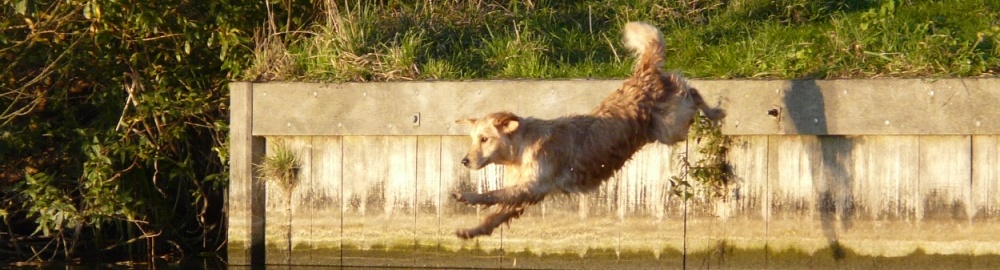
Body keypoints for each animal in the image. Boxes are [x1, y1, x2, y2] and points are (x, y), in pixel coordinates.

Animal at [456, 22, 728, 239]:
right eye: (473, 139)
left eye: (484, 139)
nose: (464, 161)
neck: (523, 147)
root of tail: (644, 73)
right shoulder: (526, 191)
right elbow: (496, 213)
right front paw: (472, 230)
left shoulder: (535, 185)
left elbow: (494, 193)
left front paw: (469, 197)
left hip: (671, 126)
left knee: (691, 91)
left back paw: (716, 112)